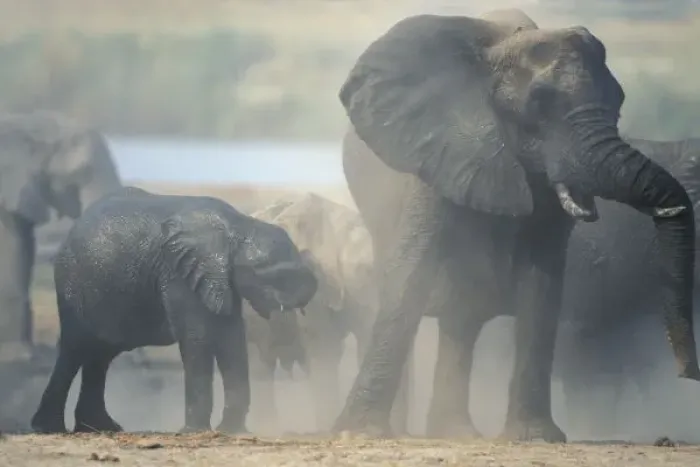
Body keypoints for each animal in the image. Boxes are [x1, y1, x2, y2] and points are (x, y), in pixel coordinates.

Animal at [30, 187, 318, 434]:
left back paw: (99, 428)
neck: (237, 228)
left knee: (100, 355)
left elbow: (232, 339)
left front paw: (231, 431)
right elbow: (198, 339)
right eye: (278, 275)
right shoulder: (178, 273)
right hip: (72, 283)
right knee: (75, 348)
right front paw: (194, 431)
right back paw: (49, 429)